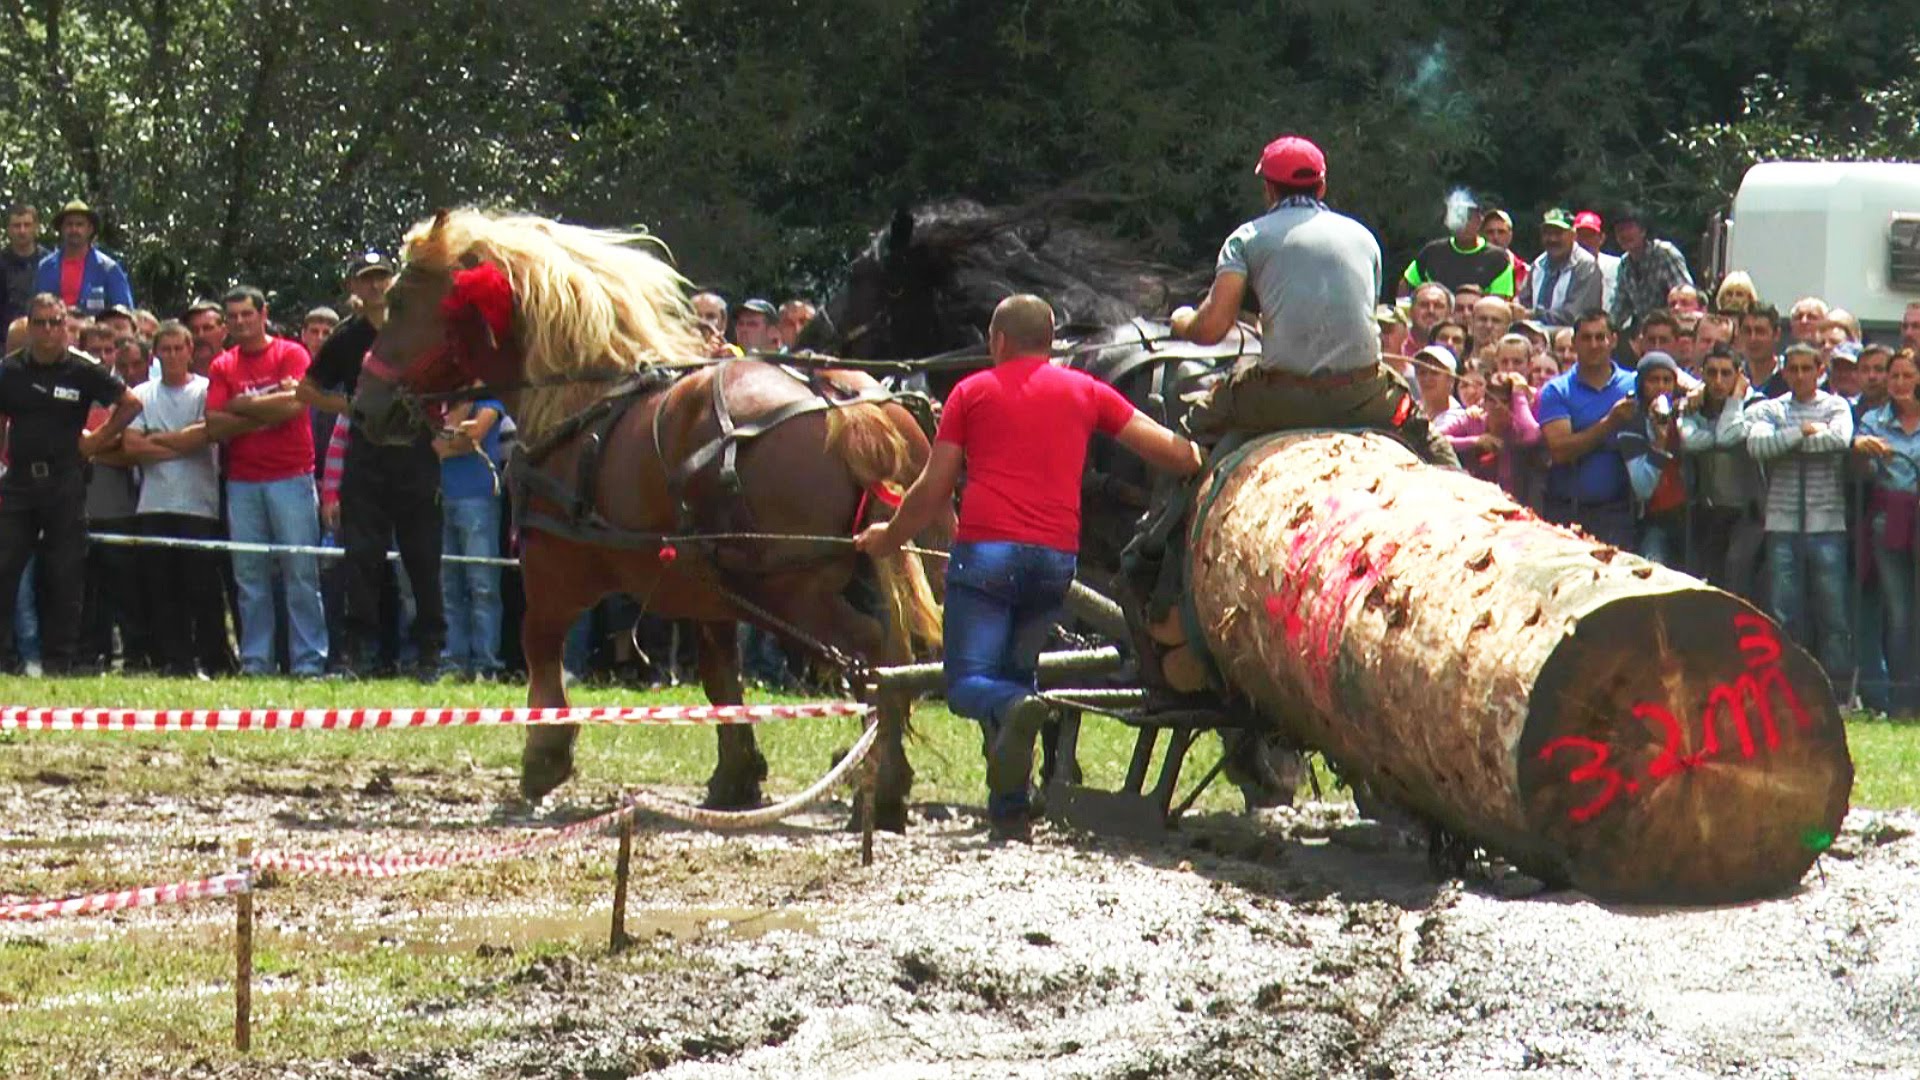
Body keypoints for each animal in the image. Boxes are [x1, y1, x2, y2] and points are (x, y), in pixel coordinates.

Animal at [351, 205, 944, 822]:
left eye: (399, 303)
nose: (364, 406)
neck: (579, 403)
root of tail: (846, 408)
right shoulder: (706, 592)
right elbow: (720, 676)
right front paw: (735, 773)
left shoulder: (554, 567)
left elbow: (540, 644)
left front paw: (545, 755)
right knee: (917, 657)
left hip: (792, 591)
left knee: (876, 656)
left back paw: (881, 782)